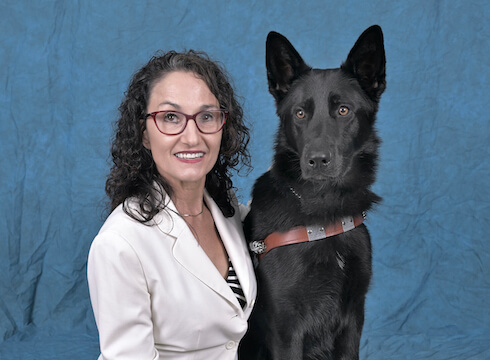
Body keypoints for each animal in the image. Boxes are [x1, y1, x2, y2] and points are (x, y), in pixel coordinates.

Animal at [241, 26, 386, 360]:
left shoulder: (353, 320)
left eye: (344, 110)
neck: (324, 209)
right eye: (300, 113)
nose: (317, 160)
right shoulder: (287, 328)